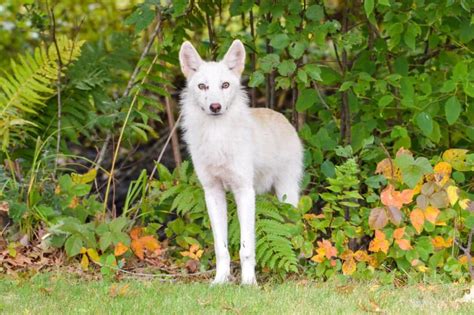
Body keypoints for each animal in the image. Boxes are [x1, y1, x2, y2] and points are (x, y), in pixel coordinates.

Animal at [178, 40, 304, 286]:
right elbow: (221, 248)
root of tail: (282, 116)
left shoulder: (244, 192)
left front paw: (248, 284)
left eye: (225, 85)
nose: (215, 107)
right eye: (202, 86)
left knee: (294, 228)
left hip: (286, 194)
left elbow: (246, 248)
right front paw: (220, 281)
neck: (218, 137)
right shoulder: (213, 193)